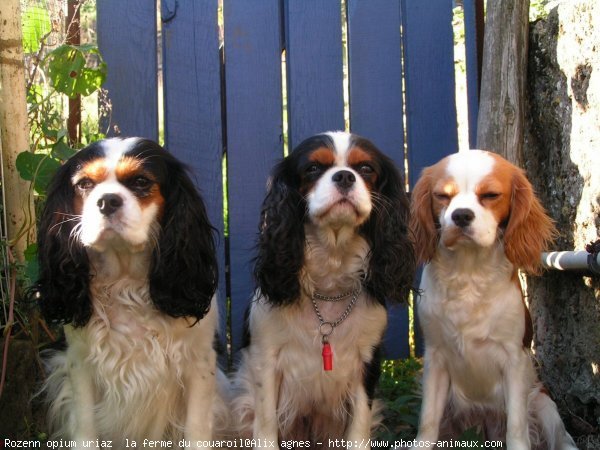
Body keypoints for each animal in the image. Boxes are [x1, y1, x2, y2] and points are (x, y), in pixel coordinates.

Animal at [408, 149, 576, 448]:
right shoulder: (435, 359)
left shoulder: (514, 361)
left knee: (561, 437)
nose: (461, 215)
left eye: (490, 195)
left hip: (543, 403)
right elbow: (427, 421)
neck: (468, 272)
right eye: (442, 196)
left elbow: (517, 427)